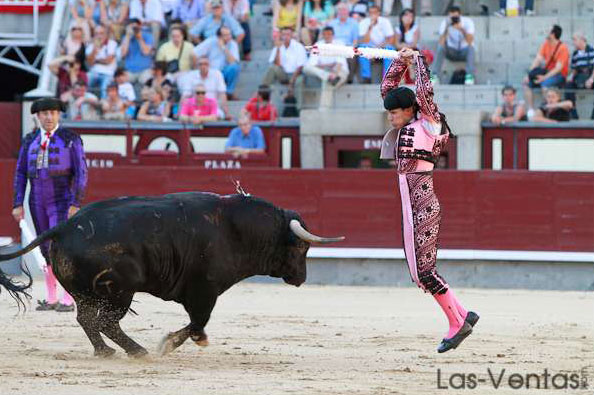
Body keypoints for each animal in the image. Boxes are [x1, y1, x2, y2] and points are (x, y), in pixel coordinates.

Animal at [0, 193, 342, 358]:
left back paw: (105, 351)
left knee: (86, 319)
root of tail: (66, 226)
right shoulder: (204, 291)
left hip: (86, 293)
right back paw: (137, 351)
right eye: (300, 246)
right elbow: (198, 323)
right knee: (106, 322)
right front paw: (174, 343)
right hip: (120, 292)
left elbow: (195, 321)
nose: (301, 277)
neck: (236, 229)